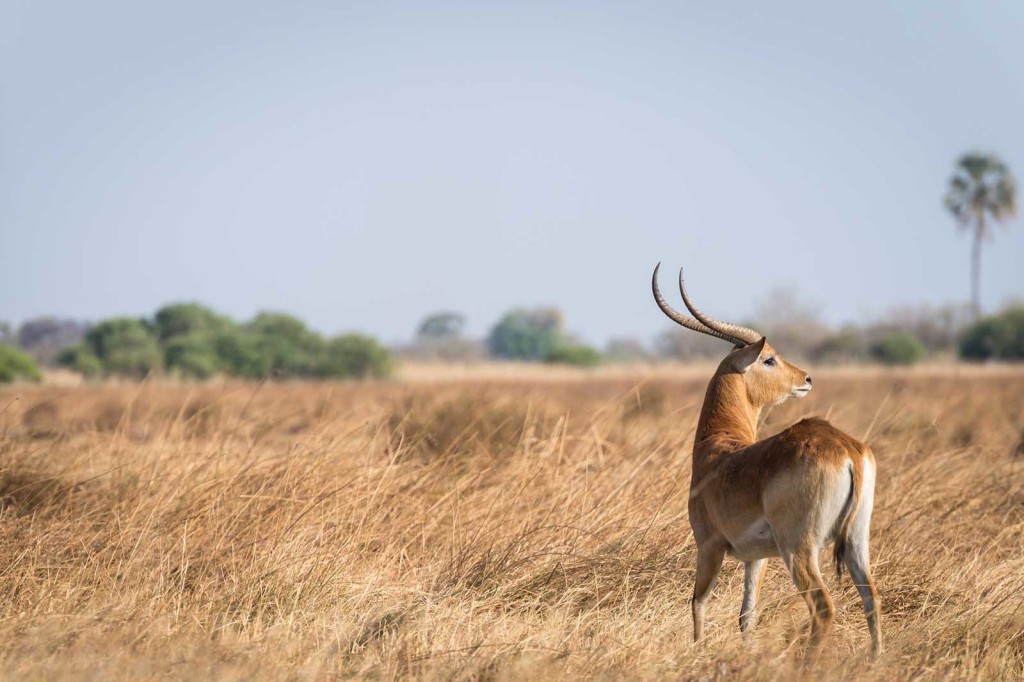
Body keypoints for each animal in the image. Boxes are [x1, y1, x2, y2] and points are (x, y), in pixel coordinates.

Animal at [651, 264, 876, 659]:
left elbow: (698, 602)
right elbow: (747, 615)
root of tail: (847, 449)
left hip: (799, 549)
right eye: (768, 358)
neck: (718, 449)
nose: (807, 378)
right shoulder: (756, 557)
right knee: (872, 599)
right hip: (855, 542)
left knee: (823, 608)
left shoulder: (709, 546)